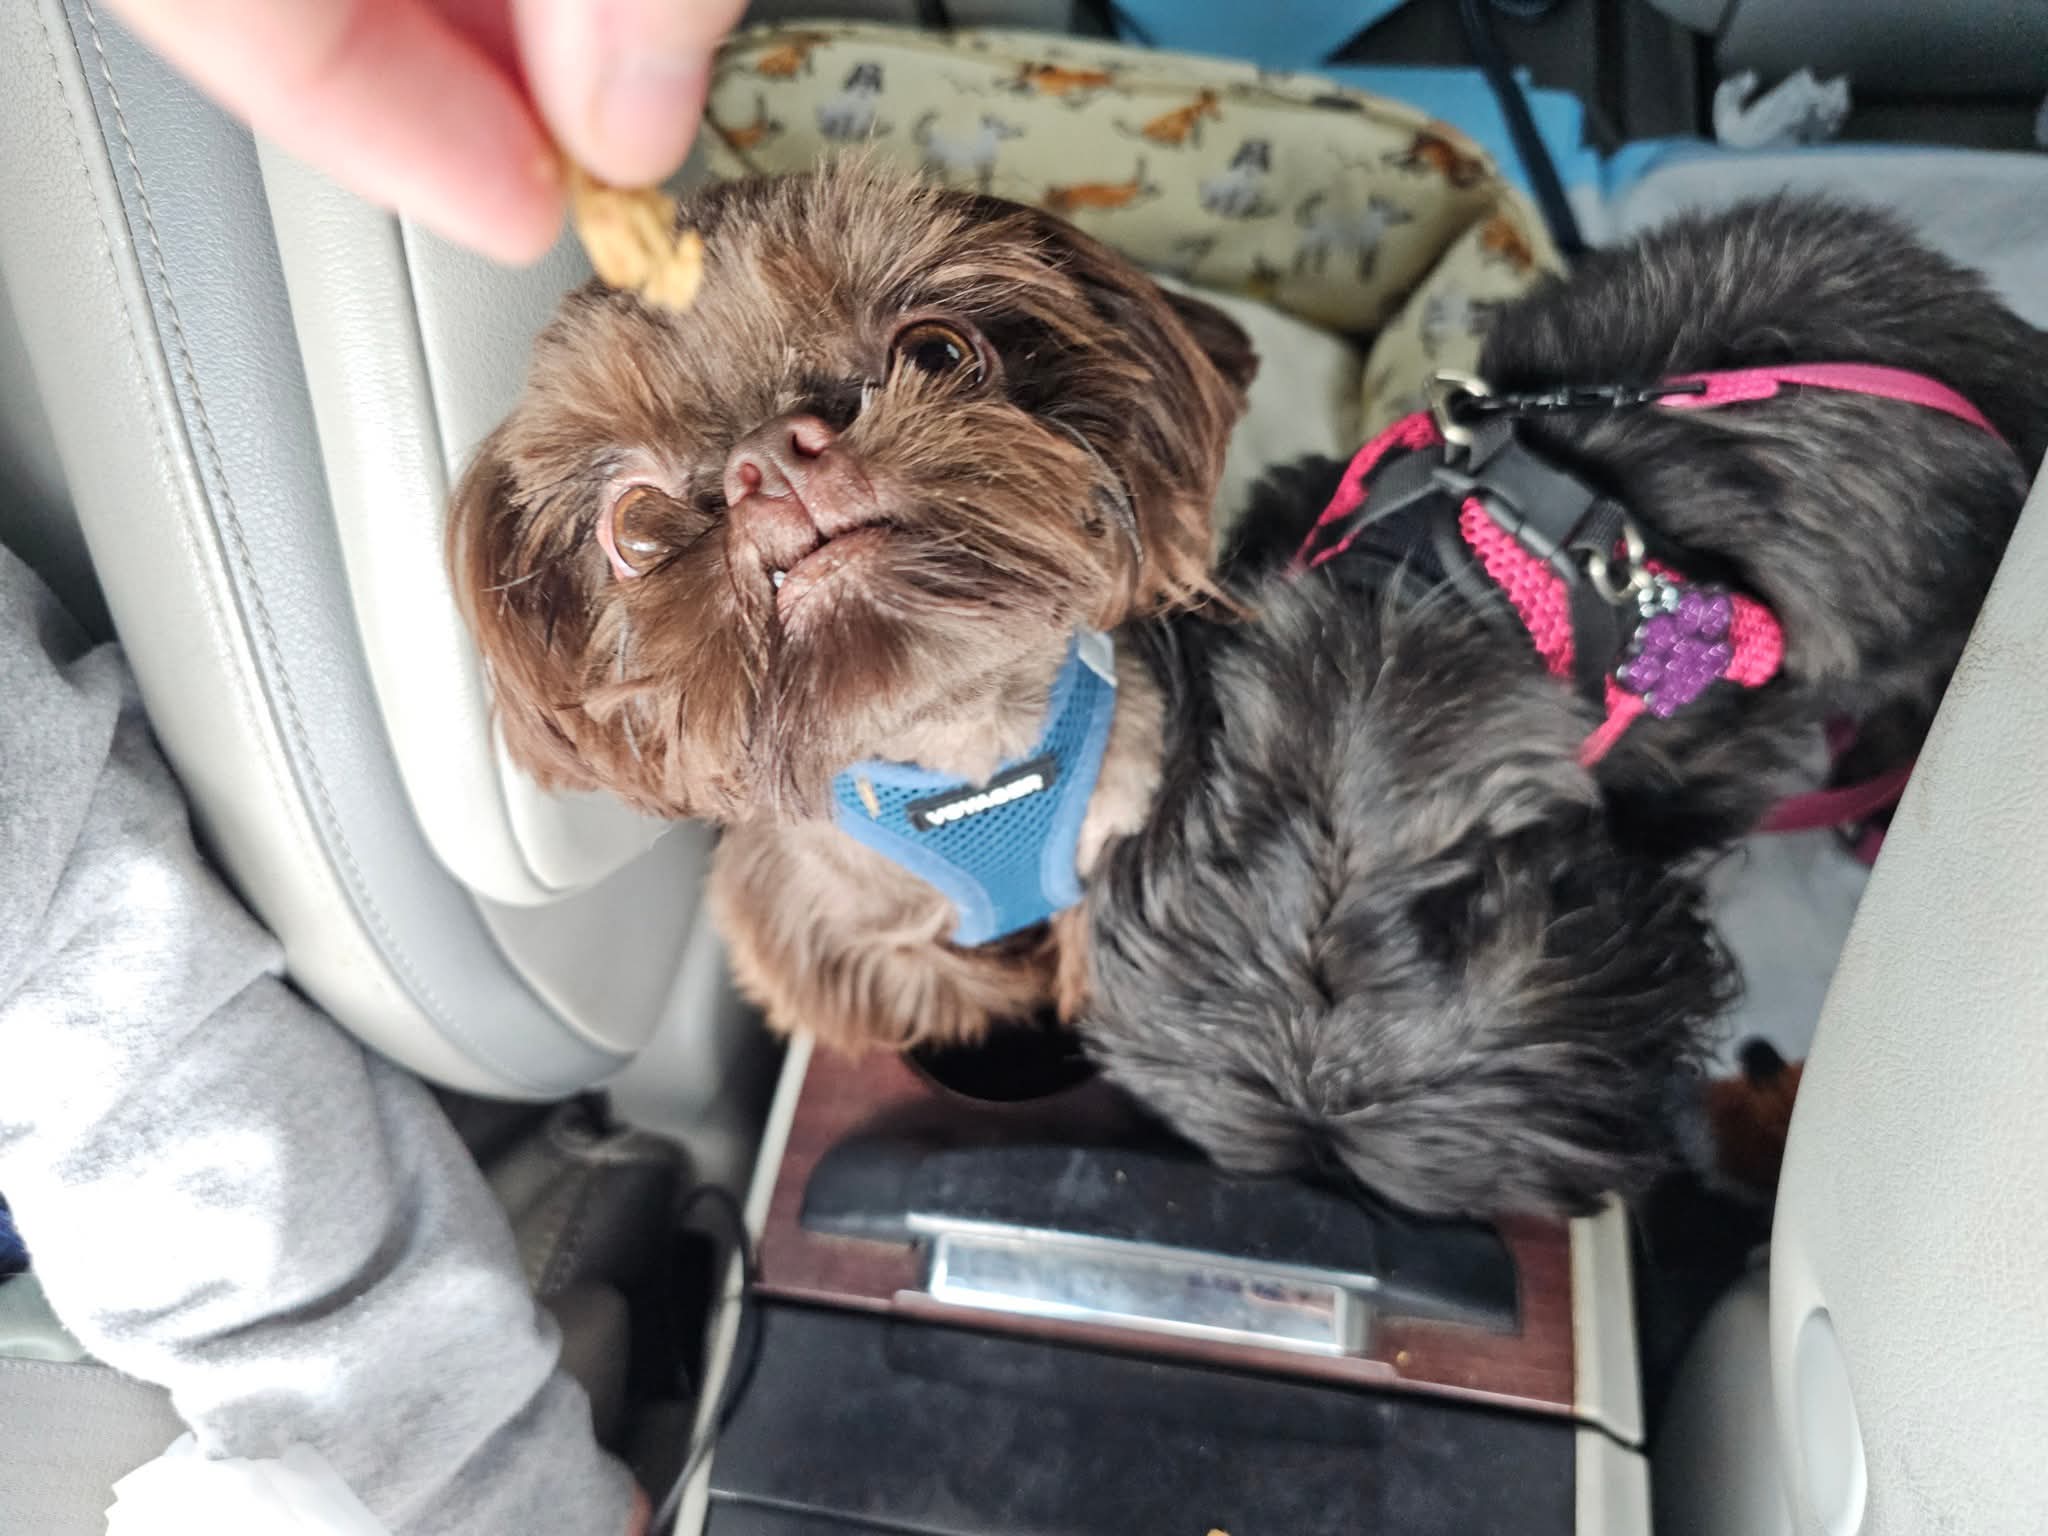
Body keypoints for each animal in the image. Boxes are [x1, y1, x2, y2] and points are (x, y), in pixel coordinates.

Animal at [449, 159, 1255, 1053]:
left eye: (938, 351)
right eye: (633, 525)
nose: (770, 453)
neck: (964, 747)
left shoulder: (1119, 834)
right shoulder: (841, 938)